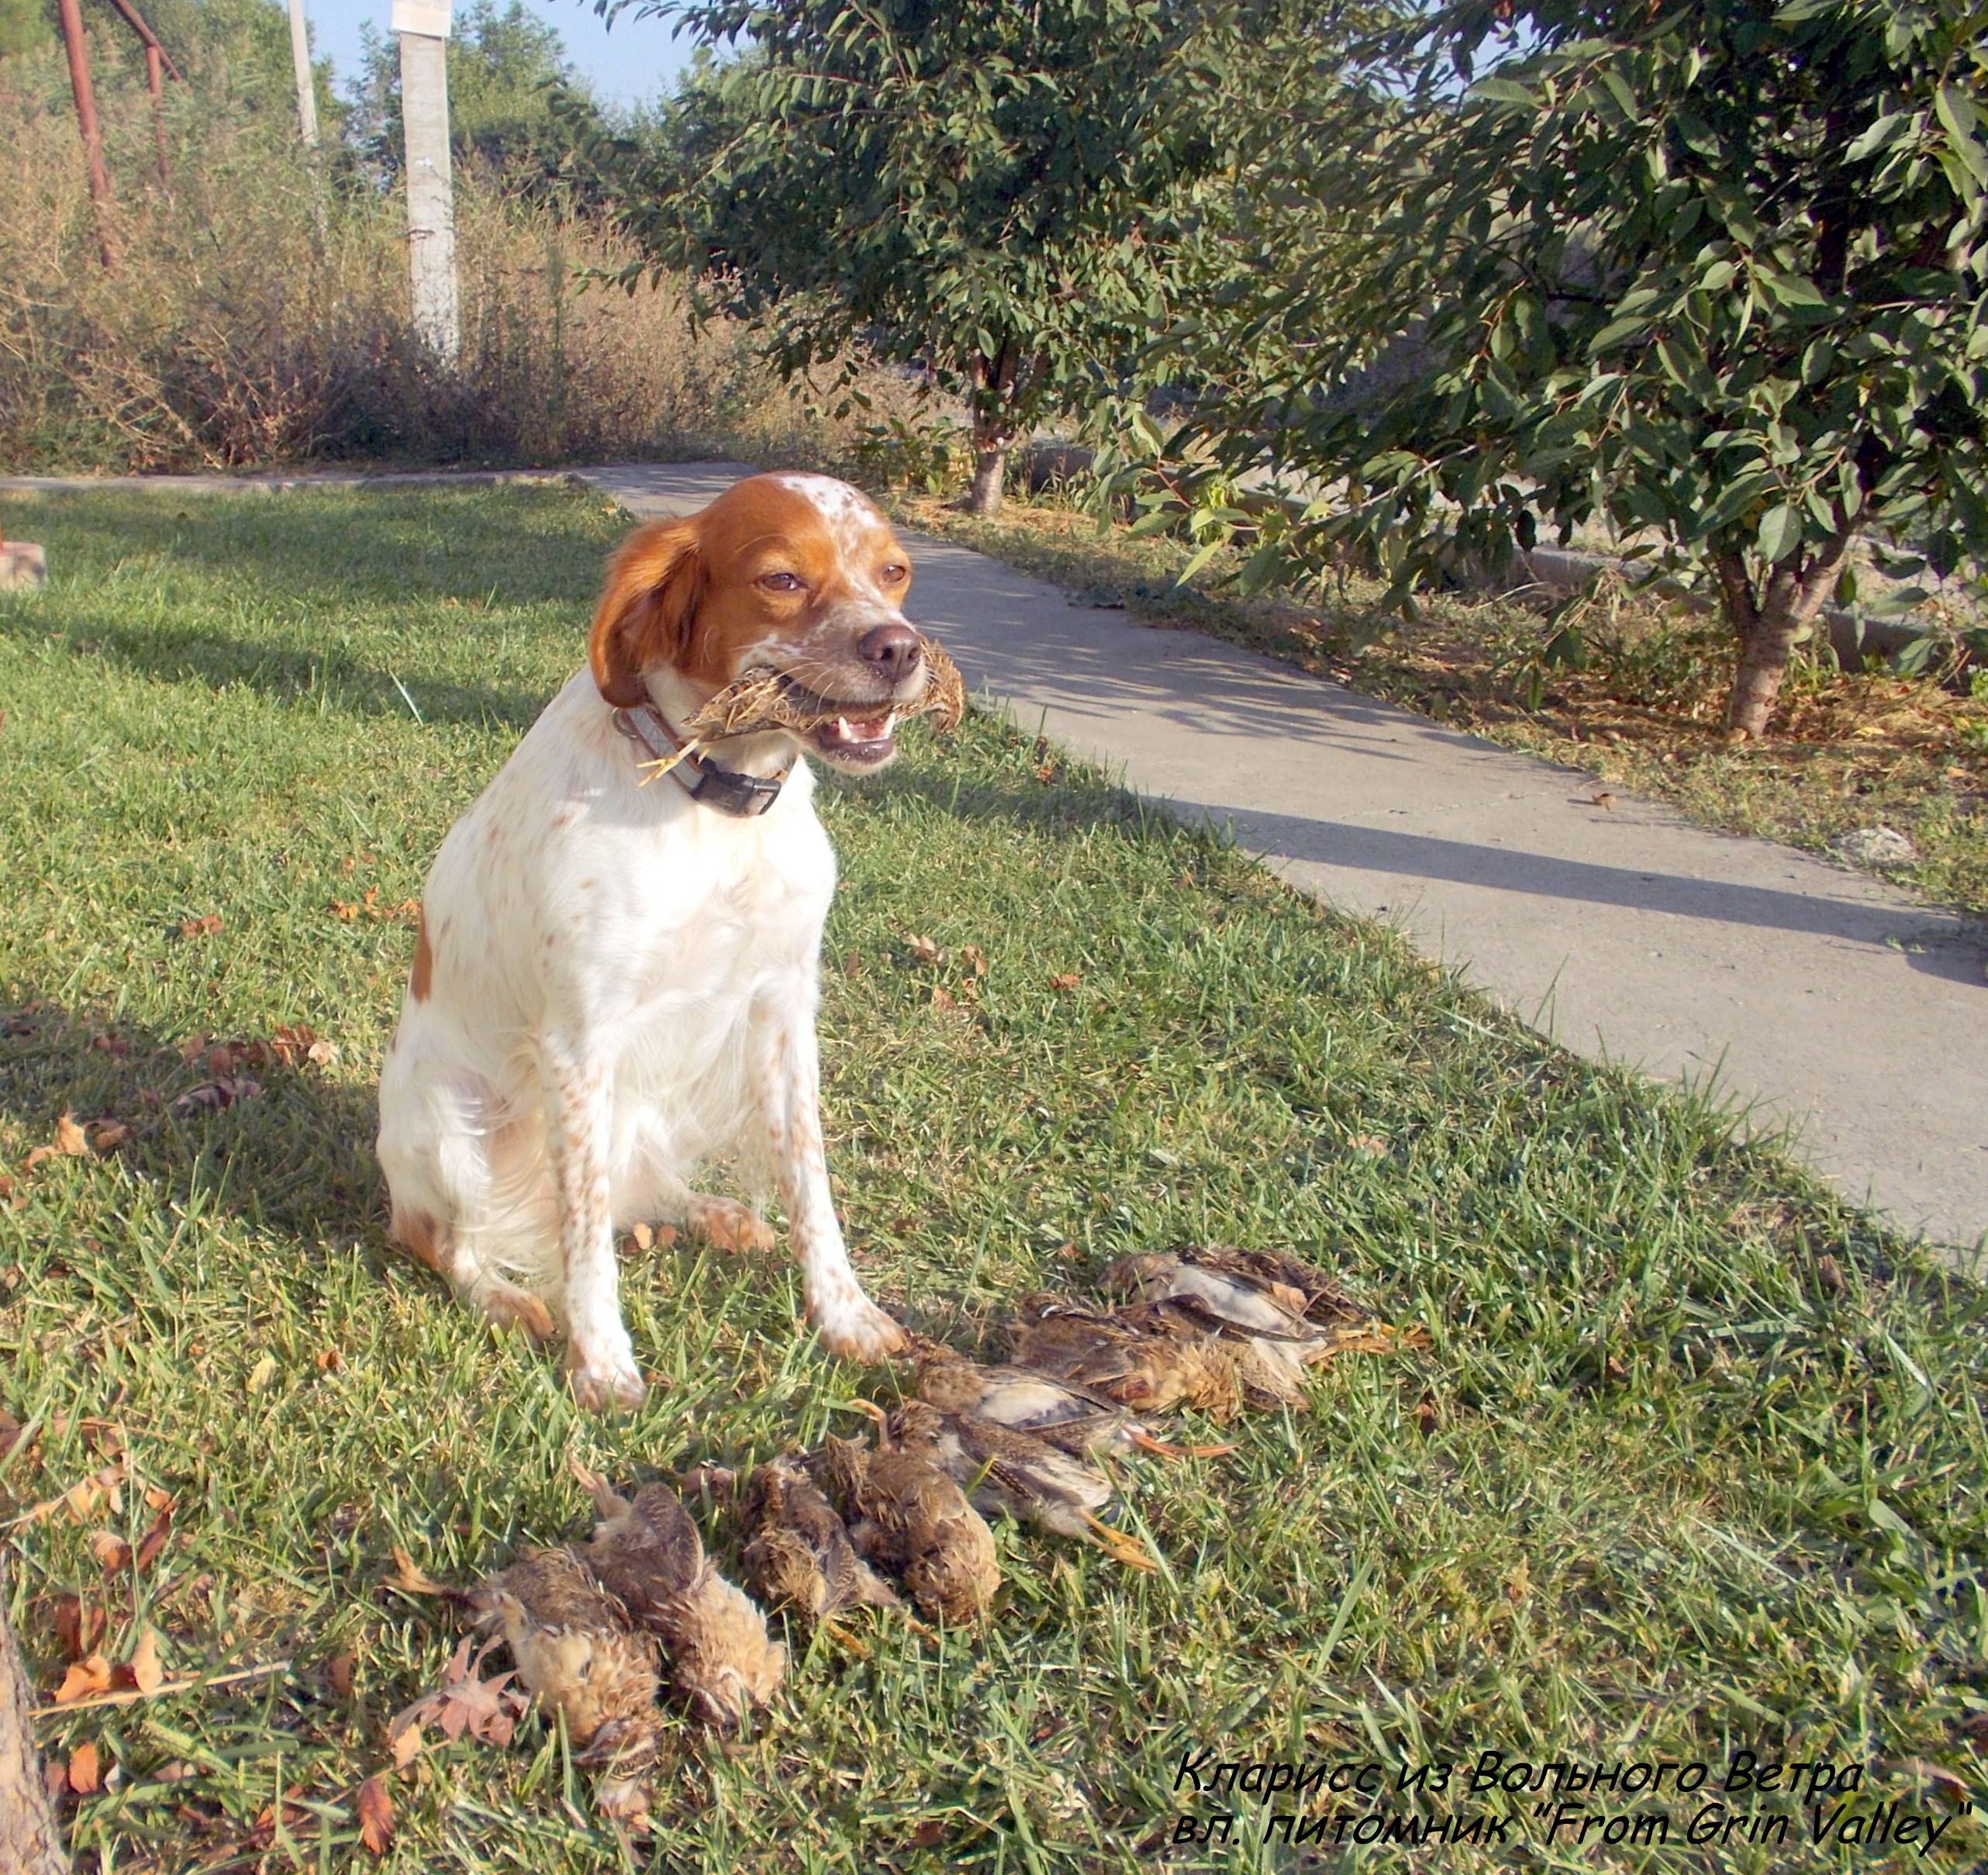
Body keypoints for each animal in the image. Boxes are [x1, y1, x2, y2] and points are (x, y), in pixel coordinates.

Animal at [376, 473, 928, 1408]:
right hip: (449, 1121)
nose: (899, 649)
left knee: (639, 1189)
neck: (713, 800)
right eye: (782, 578)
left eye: (894, 572)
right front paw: (601, 1362)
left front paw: (845, 1314)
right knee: (444, 1239)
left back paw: (715, 1215)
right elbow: (586, 1233)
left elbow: (810, 1184)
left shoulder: (784, 1008)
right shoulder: (579, 1039)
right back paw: (502, 1296)